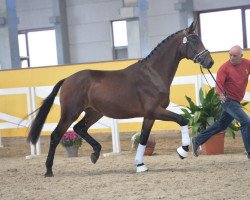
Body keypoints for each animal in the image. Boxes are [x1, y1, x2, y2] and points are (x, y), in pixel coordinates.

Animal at [28, 21, 214, 176]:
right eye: (194, 41)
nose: (209, 62)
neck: (152, 75)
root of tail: (67, 79)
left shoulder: (150, 115)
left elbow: (144, 138)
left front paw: (140, 165)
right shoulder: (156, 111)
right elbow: (182, 119)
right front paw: (182, 151)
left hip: (94, 113)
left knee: (79, 128)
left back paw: (95, 153)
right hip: (70, 112)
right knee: (56, 135)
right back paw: (49, 170)